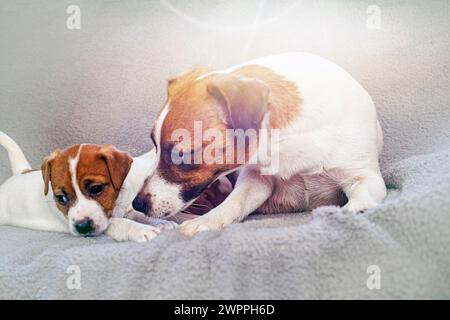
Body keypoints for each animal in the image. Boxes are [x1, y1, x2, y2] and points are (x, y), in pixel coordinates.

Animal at [0, 131, 175, 241]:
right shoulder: (104, 224)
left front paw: (161, 223)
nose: (82, 227)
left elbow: (140, 215)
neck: (115, 205)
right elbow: (120, 223)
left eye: (96, 189)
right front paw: (142, 230)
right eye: (61, 198)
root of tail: (20, 173)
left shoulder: (127, 209)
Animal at [133, 52, 386, 235]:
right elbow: (234, 203)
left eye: (183, 155)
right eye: (155, 144)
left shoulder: (366, 177)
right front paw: (208, 220)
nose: (138, 204)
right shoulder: (255, 180)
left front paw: (348, 211)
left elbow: (361, 196)